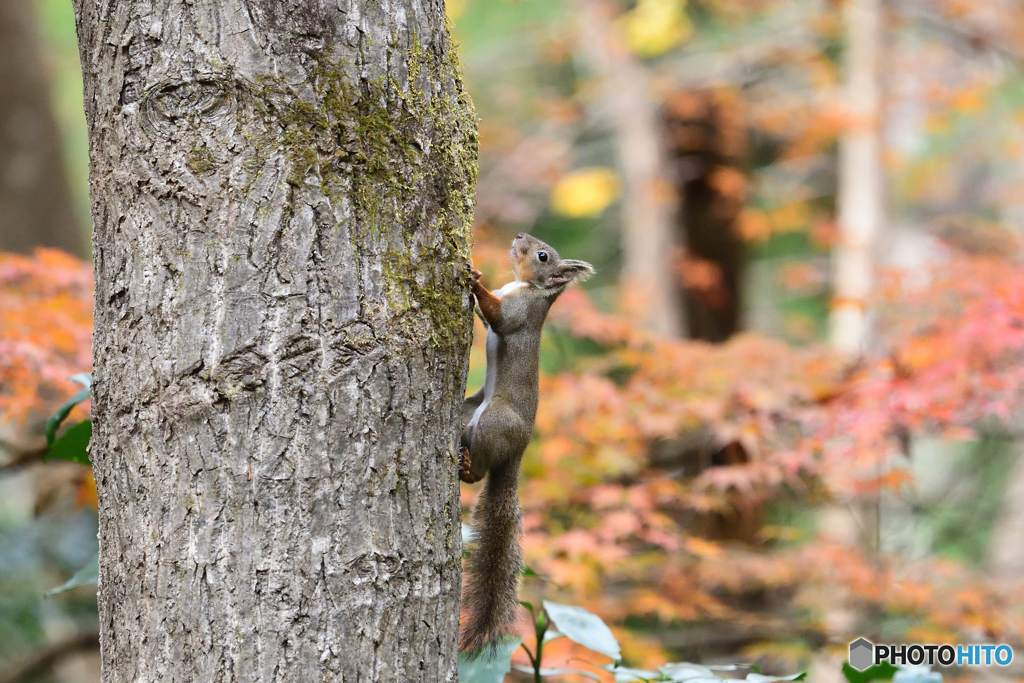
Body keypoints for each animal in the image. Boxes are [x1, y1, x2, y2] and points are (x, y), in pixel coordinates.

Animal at [456, 232, 593, 655]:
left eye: (543, 255)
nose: (519, 237)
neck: (527, 287)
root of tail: (515, 454)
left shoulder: (520, 312)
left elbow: (499, 318)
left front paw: (474, 278)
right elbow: (488, 319)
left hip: (494, 423)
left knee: (479, 471)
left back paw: (468, 468)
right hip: (468, 413)